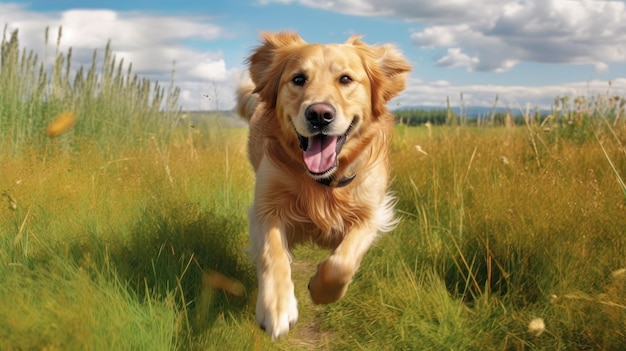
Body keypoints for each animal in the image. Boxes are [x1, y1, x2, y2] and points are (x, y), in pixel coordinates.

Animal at [235, 31, 410, 340]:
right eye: (298, 79)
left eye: (345, 79)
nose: (319, 114)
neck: (322, 182)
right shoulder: (266, 209)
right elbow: (272, 254)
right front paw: (277, 307)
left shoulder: (370, 213)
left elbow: (341, 263)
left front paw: (320, 290)